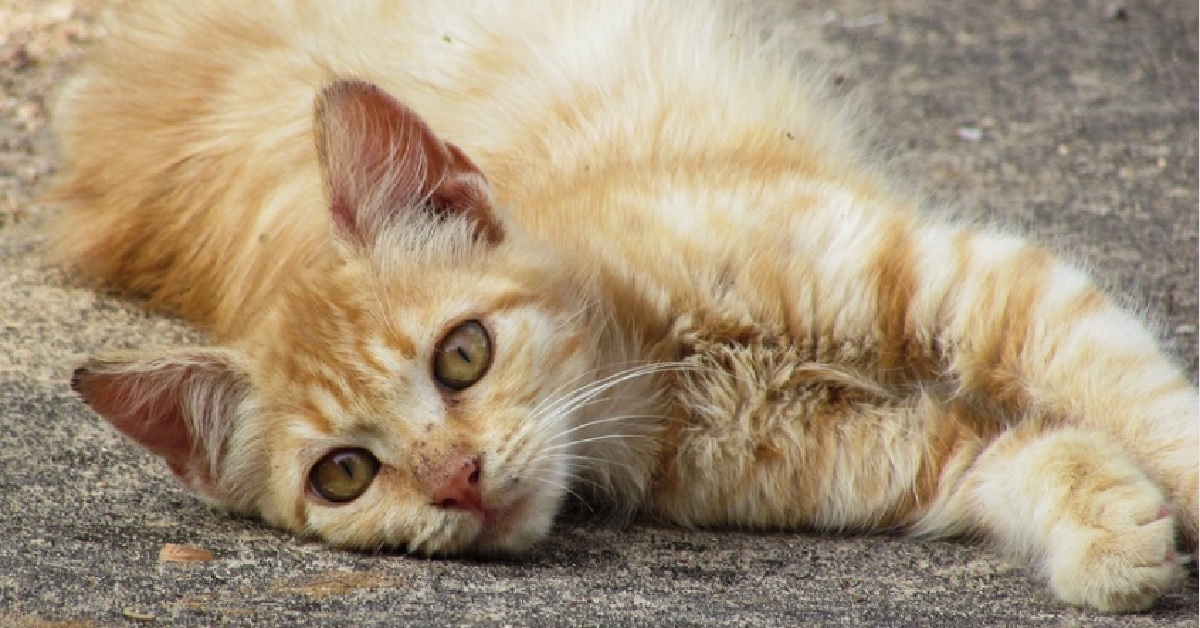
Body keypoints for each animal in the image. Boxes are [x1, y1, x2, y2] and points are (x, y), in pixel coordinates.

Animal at [44, 0, 1190, 612]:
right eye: (345, 475)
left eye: (462, 355)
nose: (457, 480)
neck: (666, 368)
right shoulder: (903, 455)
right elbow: (1025, 455)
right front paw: (1115, 531)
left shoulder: (978, 283)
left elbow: (1140, 400)